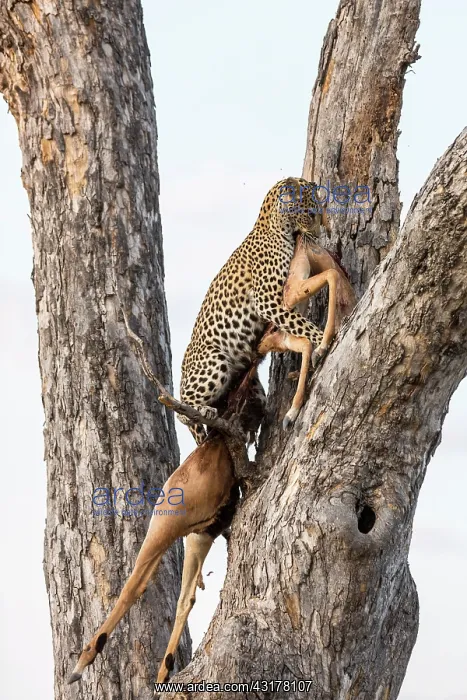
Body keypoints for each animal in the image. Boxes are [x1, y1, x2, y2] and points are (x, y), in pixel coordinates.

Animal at [179, 176, 326, 445]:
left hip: (250, 384)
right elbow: (302, 323)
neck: (275, 226)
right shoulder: (266, 300)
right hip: (214, 359)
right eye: (311, 214)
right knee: (183, 409)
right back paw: (203, 410)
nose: (319, 235)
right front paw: (324, 339)